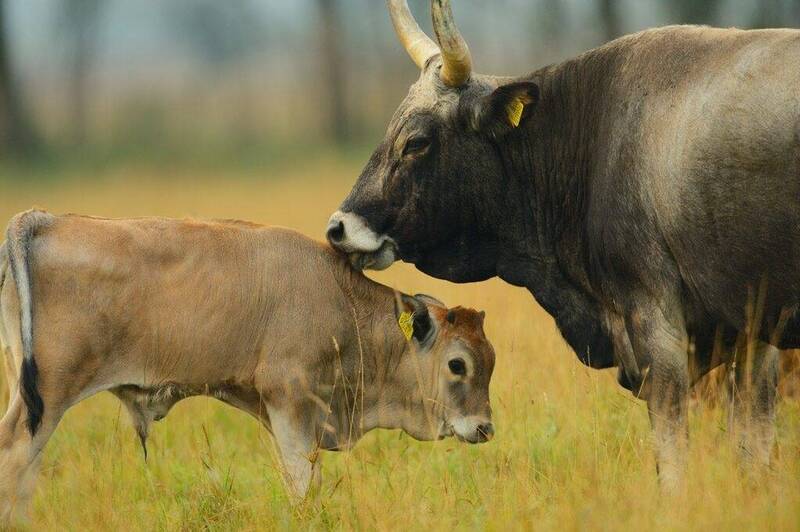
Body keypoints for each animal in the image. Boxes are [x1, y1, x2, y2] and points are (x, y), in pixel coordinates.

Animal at [326, 0, 800, 486]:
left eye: (416, 142)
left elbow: (673, 459)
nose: (338, 228)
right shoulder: (755, 334)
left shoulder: (658, 325)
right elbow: (754, 449)